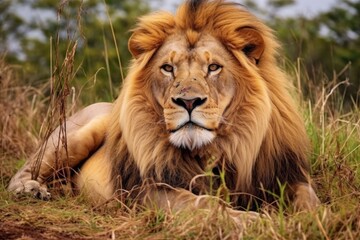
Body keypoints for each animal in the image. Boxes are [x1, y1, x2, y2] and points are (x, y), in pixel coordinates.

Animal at [7, 0, 318, 216]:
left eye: (213, 67)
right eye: (168, 68)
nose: (188, 102)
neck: (221, 147)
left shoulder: (285, 175)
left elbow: (310, 200)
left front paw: (311, 221)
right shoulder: (150, 190)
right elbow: (204, 204)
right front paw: (254, 221)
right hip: (80, 132)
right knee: (24, 170)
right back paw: (31, 189)